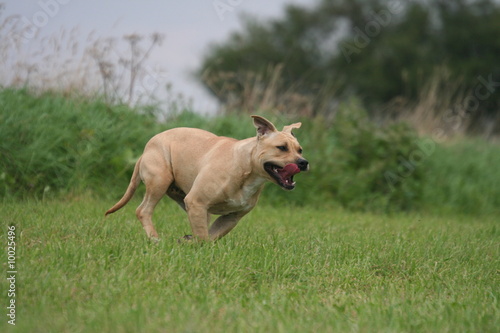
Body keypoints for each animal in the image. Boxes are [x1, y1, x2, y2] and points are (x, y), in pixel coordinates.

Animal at [105, 115, 308, 240]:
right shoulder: (197, 202)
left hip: (186, 200)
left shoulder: (230, 217)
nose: (303, 162)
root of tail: (145, 150)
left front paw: (190, 241)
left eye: (300, 150)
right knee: (143, 210)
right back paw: (154, 239)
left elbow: (210, 236)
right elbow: (203, 237)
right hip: (159, 182)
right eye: (282, 148)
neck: (246, 167)